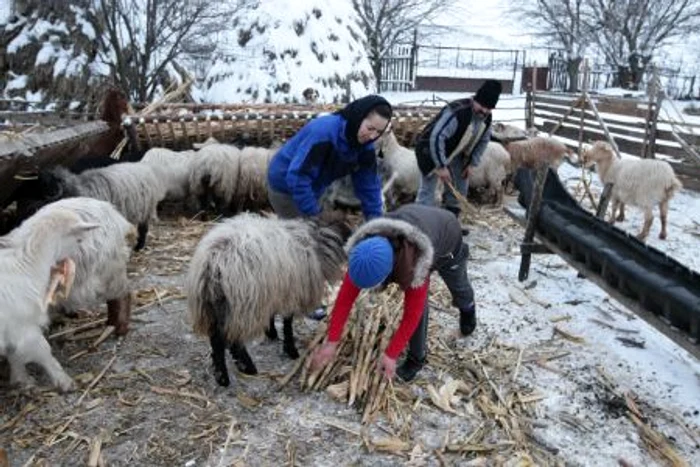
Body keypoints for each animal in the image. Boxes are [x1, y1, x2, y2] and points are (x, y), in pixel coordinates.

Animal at [0, 205, 100, 392]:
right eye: (79, 240)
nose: (93, 253)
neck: (23, 266)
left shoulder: (13, 330)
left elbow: (14, 353)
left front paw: (21, 379)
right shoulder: (24, 327)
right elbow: (43, 350)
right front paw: (65, 381)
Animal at [17, 165, 165, 252]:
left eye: (58, 181)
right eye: (42, 183)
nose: (51, 193)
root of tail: (143, 167)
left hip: (146, 209)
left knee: (144, 228)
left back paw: (139, 246)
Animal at [185, 212, 350, 388]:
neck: (315, 242)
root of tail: (213, 263)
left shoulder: (273, 291)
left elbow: (272, 314)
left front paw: (271, 332)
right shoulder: (290, 293)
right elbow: (287, 323)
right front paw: (291, 349)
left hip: (214, 306)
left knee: (217, 338)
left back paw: (224, 371)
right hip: (242, 304)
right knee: (230, 339)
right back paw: (238, 370)